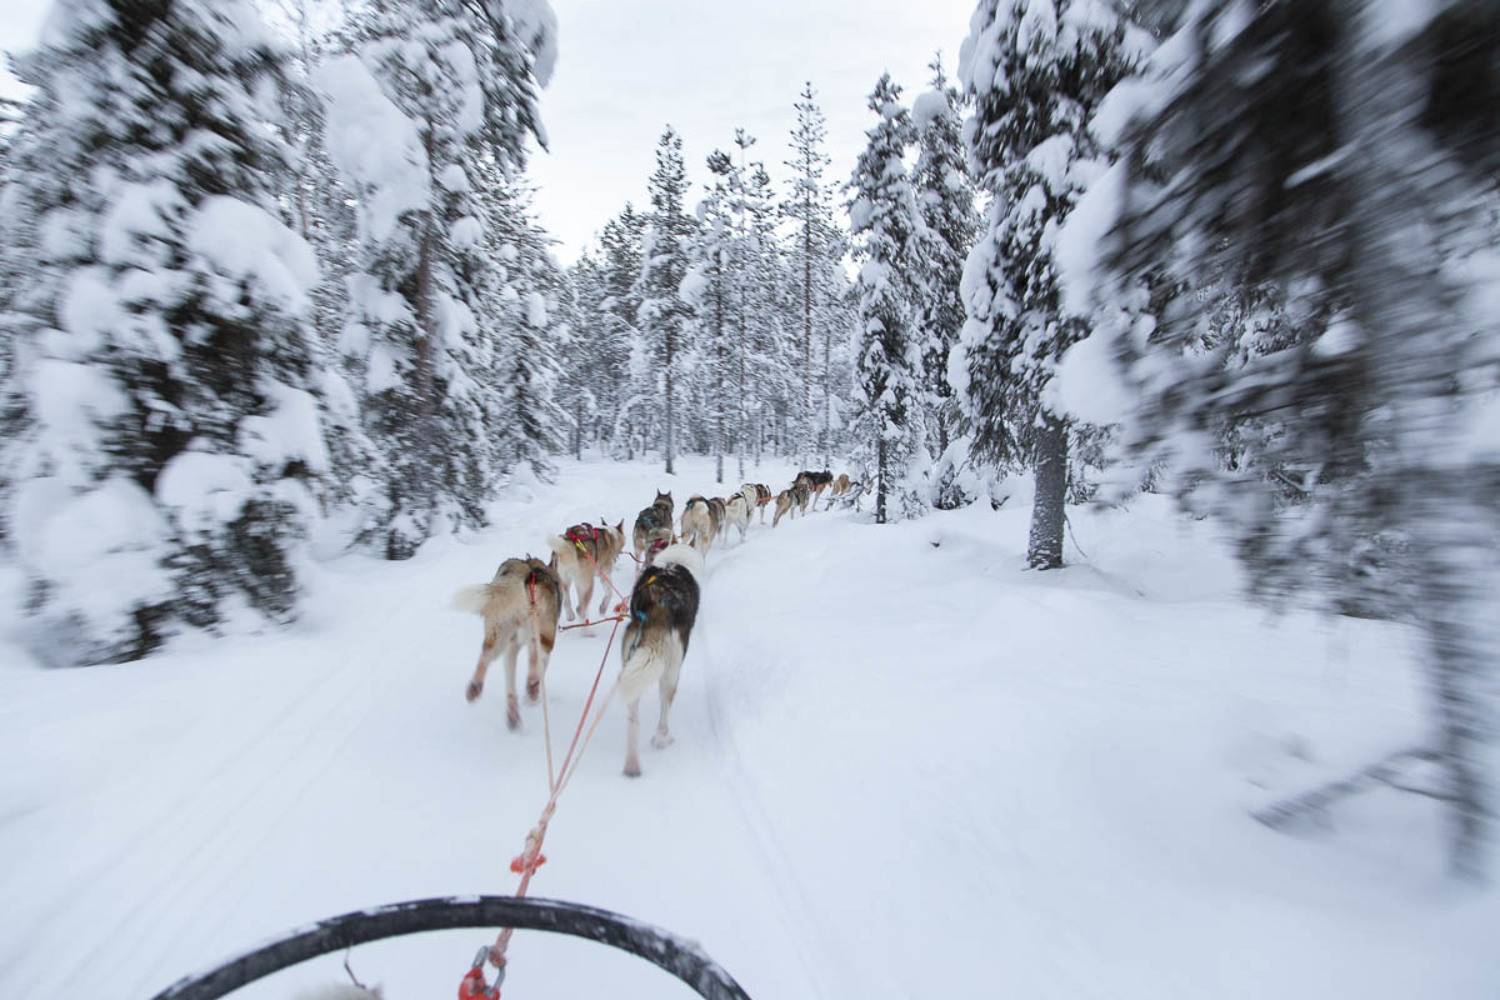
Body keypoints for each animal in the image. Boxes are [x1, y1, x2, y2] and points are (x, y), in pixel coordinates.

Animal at [454, 557, 562, 731]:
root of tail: (526, 570)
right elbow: (540, 667)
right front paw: (533, 690)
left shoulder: (512, 646)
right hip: (544, 635)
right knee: (536, 657)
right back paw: (531, 686)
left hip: (499, 634)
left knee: (487, 656)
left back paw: (479, 690)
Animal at [618, 542, 702, 777]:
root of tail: (659, 605)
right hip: (672, 668)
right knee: (665, 706)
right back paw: (662, 738)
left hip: (630, 660)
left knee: (633, 718)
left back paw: (632, 765)